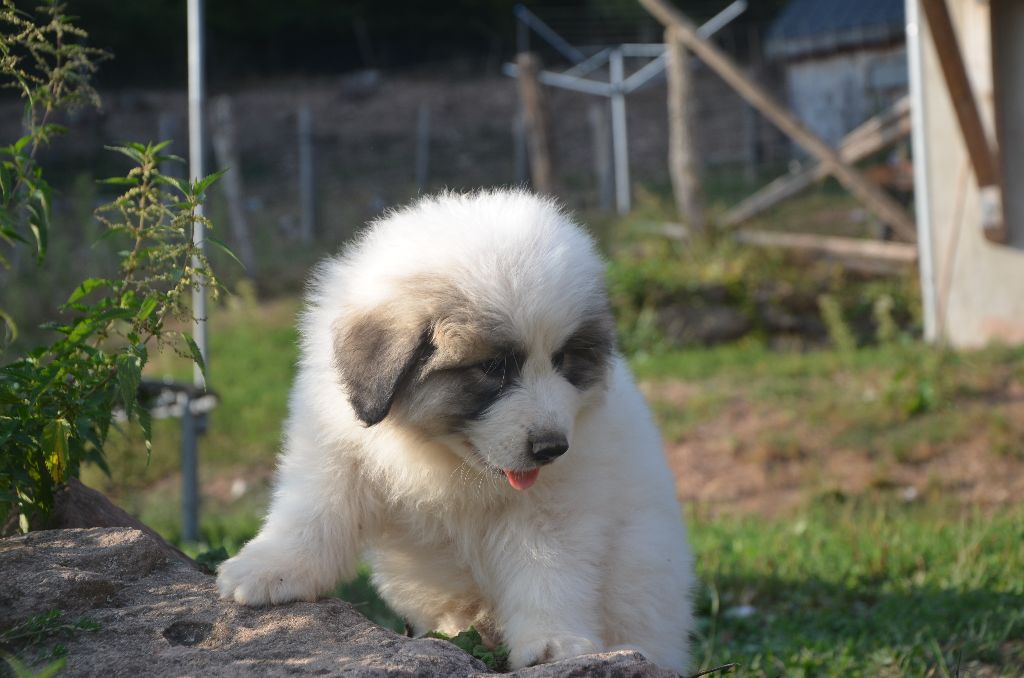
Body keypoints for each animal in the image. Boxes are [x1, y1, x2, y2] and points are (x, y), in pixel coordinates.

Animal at [216, 191, 696, 675]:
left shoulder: (556, 501)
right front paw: (271, 568)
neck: (438, 454)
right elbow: (313, 510)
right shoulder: (336, 445)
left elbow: (548, 565)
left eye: (563, 359)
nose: (552, 448)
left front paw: (553, 643)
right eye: (493, 367)